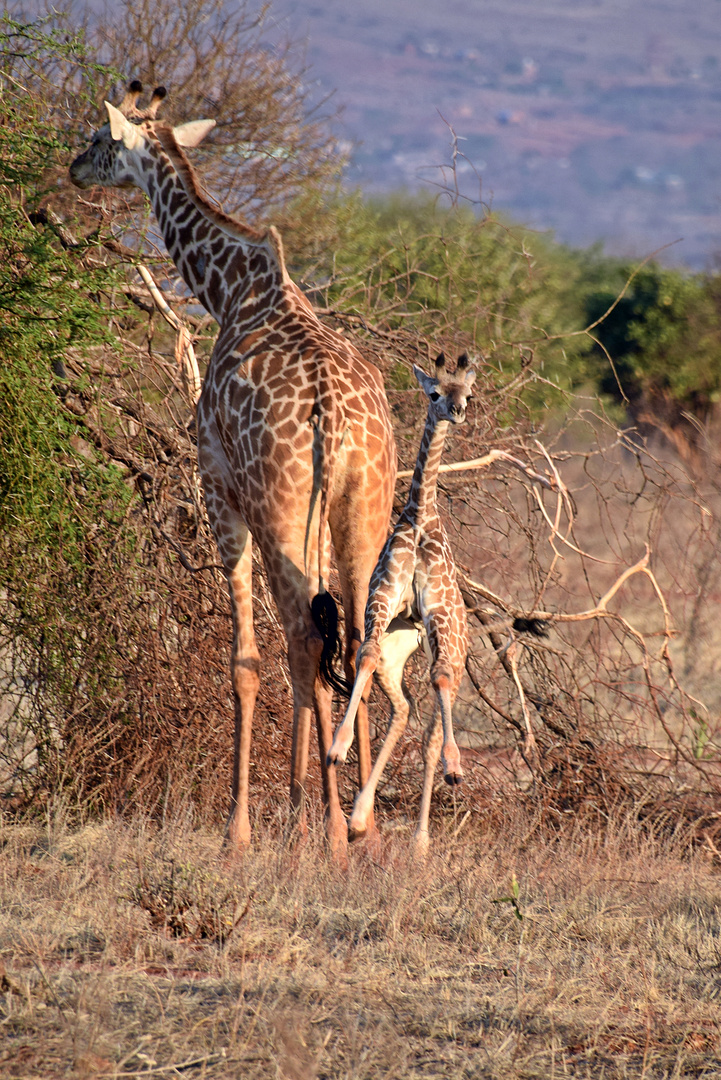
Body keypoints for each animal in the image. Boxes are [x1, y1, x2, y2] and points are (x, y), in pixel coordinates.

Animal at [70, 84, 397, 855]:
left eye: (100, 139)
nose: (71, 168)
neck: (227, 290)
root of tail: (335, 418)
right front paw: (298, 807)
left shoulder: (217, 482)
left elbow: (245, 659)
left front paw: (242, 828)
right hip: (359, 507)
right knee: (354, 635)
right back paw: (361, 825)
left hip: (278, 508)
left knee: (306, 635)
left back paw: (331, 833)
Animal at [325, 352, 472, 851]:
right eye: (434, 392)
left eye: (468, 393)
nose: (457, 411)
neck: (421, 515)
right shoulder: (383, 597)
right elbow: (364, 653)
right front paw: (337, 747)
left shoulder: (439, 609)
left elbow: (438, 680)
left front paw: (455, 765)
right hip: (399, 650)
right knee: (403, 707)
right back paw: (358, 817)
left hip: (453, 647)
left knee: (432, 720)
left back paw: (423, 835)